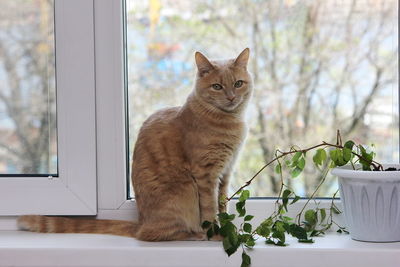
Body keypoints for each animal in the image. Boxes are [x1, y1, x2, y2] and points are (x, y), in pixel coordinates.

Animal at [18, 48, 253, 243]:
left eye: (238, 84)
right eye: (217, 87)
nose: (231, 97)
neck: (229, 121)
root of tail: (140, 222)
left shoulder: (225, 173)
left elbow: (222, 204)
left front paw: (228, 229)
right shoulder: (205, 174)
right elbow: (210, 208)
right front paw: (217, 234)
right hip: (184, 191)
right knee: (153, 235)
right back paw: (194, 234)